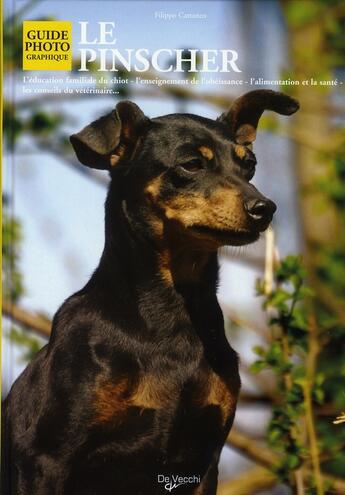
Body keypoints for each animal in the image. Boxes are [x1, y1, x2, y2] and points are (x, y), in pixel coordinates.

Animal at [1, 90, 296, 495]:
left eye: (248, 164)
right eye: (191, 164)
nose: (264, 208)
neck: (174, 313)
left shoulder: (203, 461)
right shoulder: (44, 459)